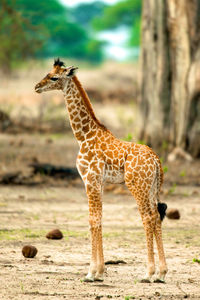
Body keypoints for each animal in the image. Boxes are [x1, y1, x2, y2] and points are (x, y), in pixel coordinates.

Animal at [35, 58, 168, 284]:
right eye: (47, 73)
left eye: (54, 77)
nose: (37, 87)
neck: (83, 136)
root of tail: (156, 160)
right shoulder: (100, 182)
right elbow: (99, 219)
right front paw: (100, 272)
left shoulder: (89, 179)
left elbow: (92, 220)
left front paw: (91, 273)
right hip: (151, 188)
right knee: (157, 216)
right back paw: (161, 273)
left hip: (137, 186)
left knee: (147, 218)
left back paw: (148, 273)